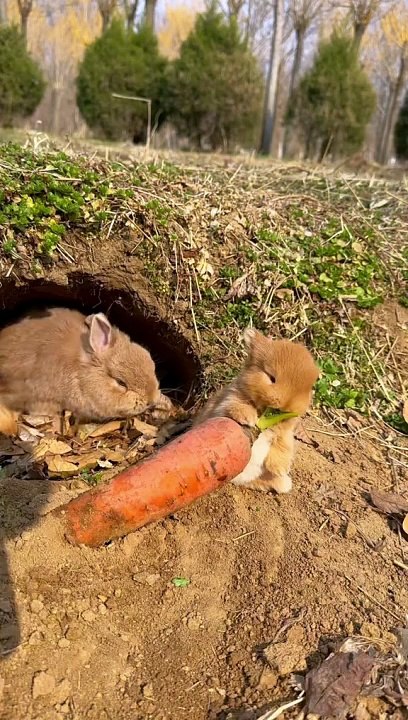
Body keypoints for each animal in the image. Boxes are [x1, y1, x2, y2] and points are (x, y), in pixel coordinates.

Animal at [194, 327, 319, 493]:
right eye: (272, 377)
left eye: (308, 389)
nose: (287, 406)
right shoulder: (227, 403)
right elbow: (236, 407)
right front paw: (248, 419)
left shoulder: (285, 435)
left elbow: (284, 448)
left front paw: (281, 469)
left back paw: (283, 482)